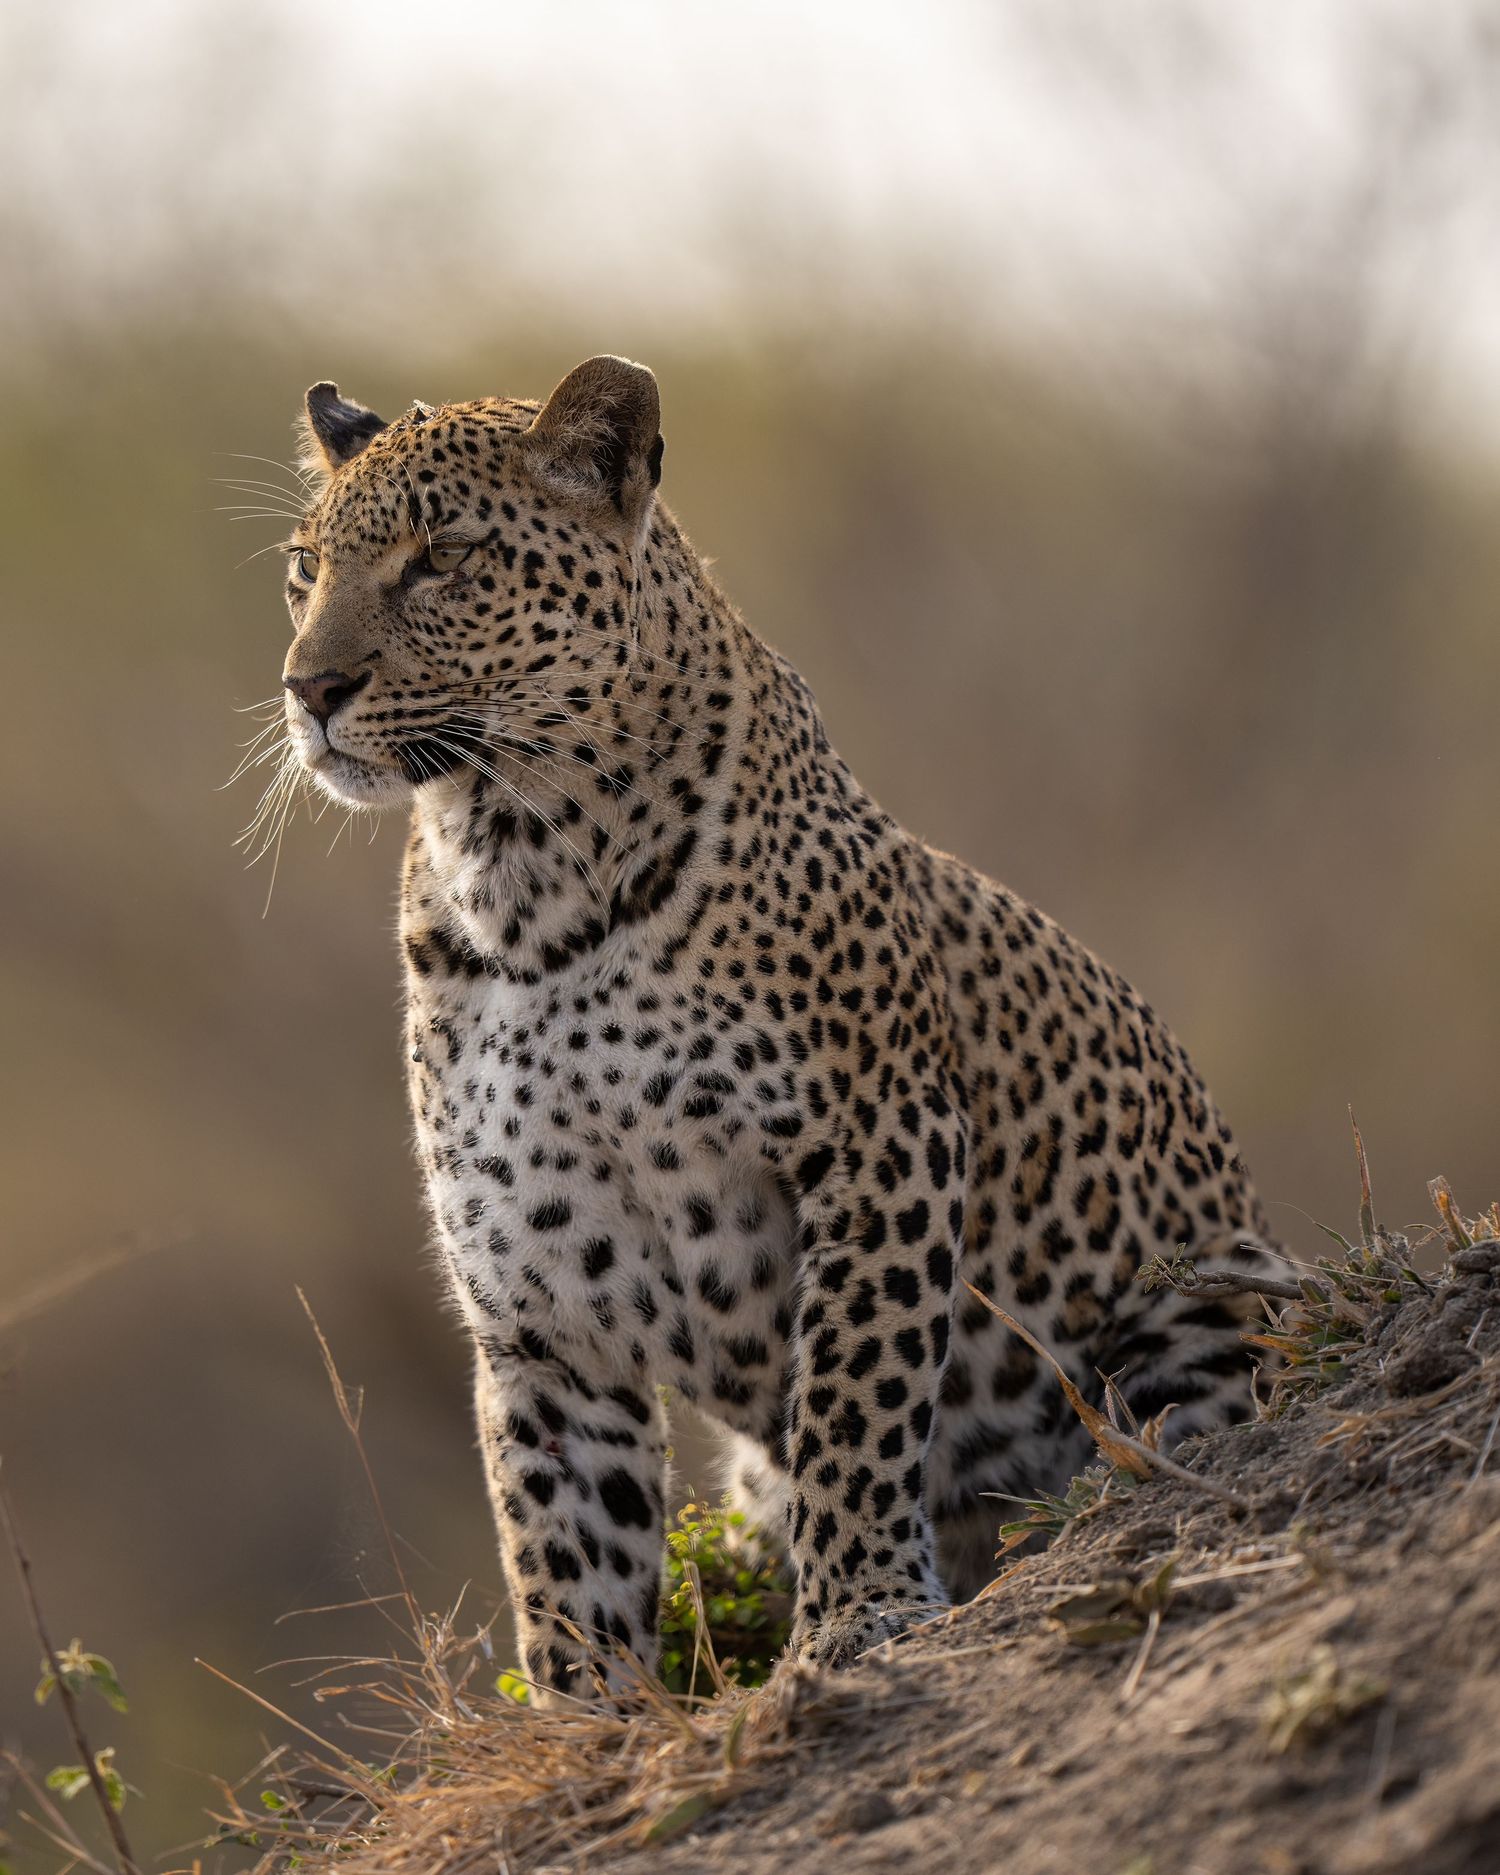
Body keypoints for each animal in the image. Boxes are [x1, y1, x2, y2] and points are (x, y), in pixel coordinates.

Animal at [270, 353, 1280, 1704]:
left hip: (1204, 1308)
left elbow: (857, 1398)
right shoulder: (533, 1283)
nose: (309, 690)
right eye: (304, 568)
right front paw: (583, 1725)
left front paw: (856, 1615)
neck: (518, 871)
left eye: (444, 558)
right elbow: (561, 1533)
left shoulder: (883, 1147)